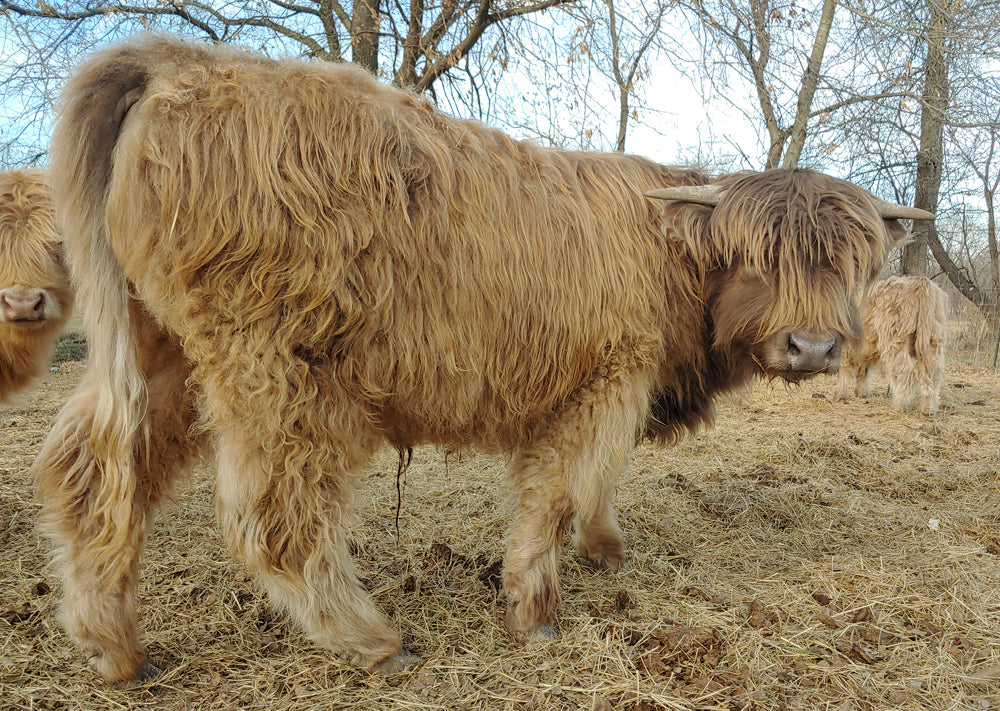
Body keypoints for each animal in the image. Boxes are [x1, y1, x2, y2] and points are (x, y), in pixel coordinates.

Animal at [37, 34, 929, 684]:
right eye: (758, 258)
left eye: (848, 263)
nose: (813, 345)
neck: (670, 259)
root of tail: (179, 60)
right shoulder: (605, 379)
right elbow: (560, 490)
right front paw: (534, 608)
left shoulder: (614, 389)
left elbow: (594, 483)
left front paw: (605, 547)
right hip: (280, 371)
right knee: (275, 517)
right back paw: (370, 638)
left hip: (161, 354)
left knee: (94, 472)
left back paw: (112, 645)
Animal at [834, 275, 948, 415]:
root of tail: (919, 281)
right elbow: (864, 370)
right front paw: (861, 393)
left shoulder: (846, 346)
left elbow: (844, 369)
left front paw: (839, 395)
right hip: (933, 339)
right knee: (932, 372)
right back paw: (927, 409)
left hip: (894, 339)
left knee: (905, 371)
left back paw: (899, 406)